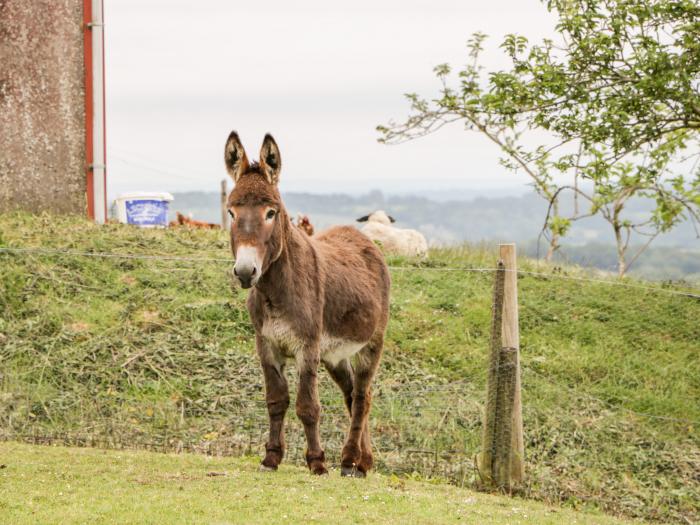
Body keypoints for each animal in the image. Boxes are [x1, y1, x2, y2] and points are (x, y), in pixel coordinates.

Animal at [223, 131, 388, 474]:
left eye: (270, 213)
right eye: (231, 212)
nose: (245, 272)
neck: (274, 292)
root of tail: (362, 238)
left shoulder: (307, 348)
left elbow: (307, 406)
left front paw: (317, 462)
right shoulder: (267, 346)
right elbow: (276, 401)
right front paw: (271, 457)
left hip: (371, 343)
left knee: (362, 397)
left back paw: (349, 461)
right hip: (336, 355)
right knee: (353, 395)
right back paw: (363, 461)